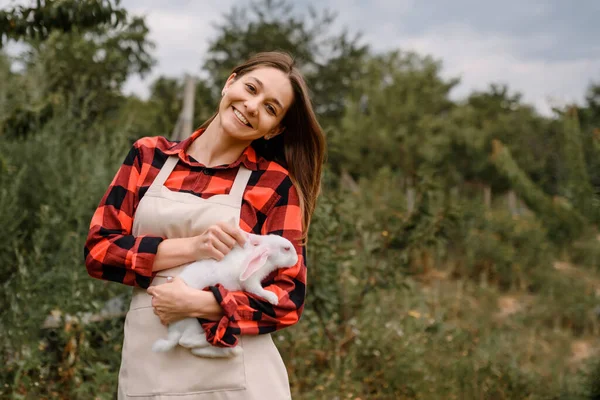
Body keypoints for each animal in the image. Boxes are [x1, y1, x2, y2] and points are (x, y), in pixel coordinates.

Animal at [151, 233, 298, 358]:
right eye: (286, 249)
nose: (296, 260)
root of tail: (173, 332)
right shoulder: (251, 282)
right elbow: (258, 290)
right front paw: (273, 298)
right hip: (193, 321)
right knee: (186, 341)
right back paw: (215, 338)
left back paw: (229, 349)